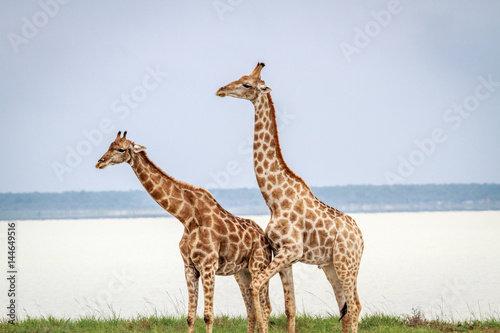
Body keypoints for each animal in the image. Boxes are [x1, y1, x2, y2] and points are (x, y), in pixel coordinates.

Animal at [94, 131, 274, 330]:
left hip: (258, 266)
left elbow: (208, 315)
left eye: (121, 149)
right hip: (242, 272)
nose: (100, 162)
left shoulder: (208, 266)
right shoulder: (189, 267)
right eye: (109, 145)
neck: (187, 218)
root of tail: (266, 240)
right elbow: (190, 316)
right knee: (251, 310)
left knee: (265, 307)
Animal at [217, 63, 366, 330]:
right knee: (346, 308)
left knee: (356, 306)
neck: (275, 199)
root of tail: (360, 238)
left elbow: (257, 287)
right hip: (330, 265)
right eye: (241, 77)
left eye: (247, 84)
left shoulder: (291, 250)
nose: (221, 90)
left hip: (346, 262)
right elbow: (290, 308)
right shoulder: (284, 256)